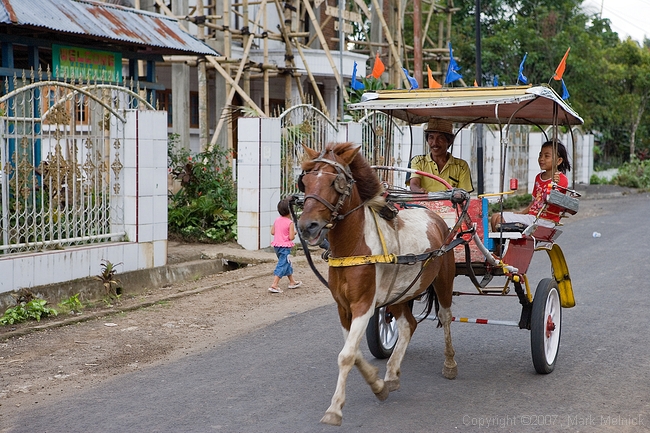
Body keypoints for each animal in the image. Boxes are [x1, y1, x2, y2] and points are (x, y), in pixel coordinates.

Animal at [296, 142, 458, 426]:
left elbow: (346, 355)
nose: (307, 226)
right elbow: (353, 351)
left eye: (335, 182)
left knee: (445, 316)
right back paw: (391, 374)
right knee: (408, 325)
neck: (355, 246)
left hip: (443, 280)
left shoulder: (364, 304)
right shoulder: (344, 308)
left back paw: (449, 364)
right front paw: (377, 384)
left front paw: (335, 409)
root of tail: (434, 216)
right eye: (304, 182)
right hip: (400, 293)